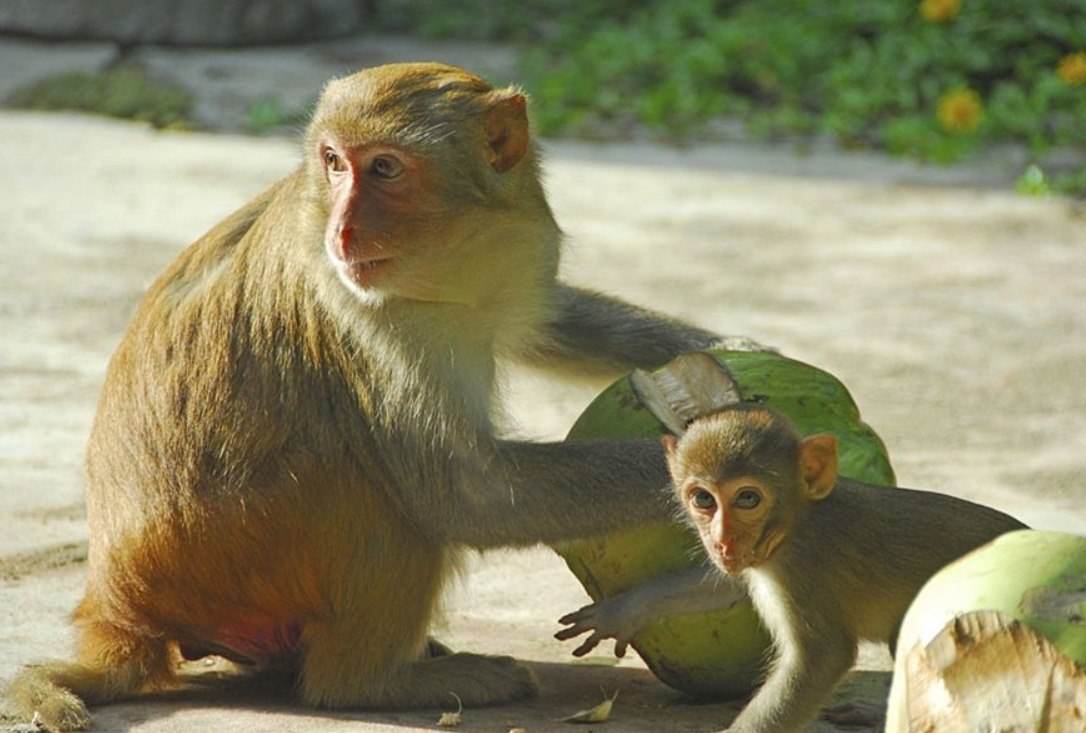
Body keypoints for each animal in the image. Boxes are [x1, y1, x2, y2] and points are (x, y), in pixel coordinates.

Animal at [3, 63, 772, 731]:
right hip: (238, 566)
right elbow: (466, 494)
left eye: (385, 168)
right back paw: (372, 682)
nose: (342, 229)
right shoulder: (362, 310)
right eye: (334, 162)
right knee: (386, 499)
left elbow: (549, 321)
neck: (448, 255)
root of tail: (120, 601)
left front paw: (741, 344)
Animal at [557, 403, 1027, 733]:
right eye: (703, 499)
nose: (722, 539)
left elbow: (821, 659)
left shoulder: (803, 571)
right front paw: (624, 611)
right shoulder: (759, 561)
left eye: (747, 498)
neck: (795, 523)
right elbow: (728, 584)